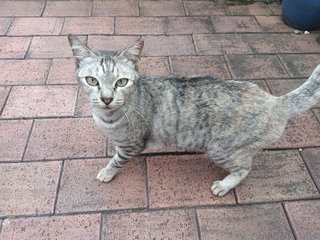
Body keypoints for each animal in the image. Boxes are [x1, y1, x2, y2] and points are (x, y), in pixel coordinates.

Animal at [67, 35, 320, 197]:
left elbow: (117, 160)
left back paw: (224, 185)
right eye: (92, 80)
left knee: (245, 168)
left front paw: (107, 172)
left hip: (221, 149)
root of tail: (274, 101)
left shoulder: (132, 143)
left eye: (121, 82)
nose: (106, 98)